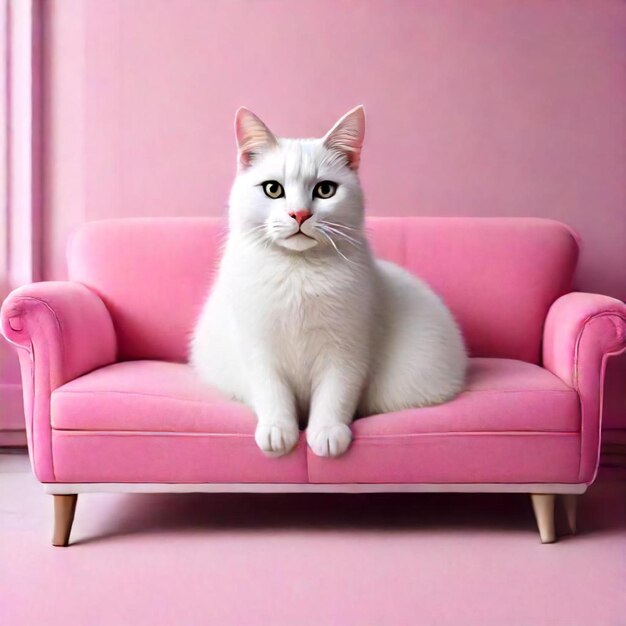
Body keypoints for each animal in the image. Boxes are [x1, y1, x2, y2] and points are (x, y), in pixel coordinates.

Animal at [188, 106, 466, 458]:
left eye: (325, 190)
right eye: (273, 189)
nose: (299, 214)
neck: (298, 270)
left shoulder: (347, 349)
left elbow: (336, 394)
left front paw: (328, 434)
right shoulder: (257, 347)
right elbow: (270, 390)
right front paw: (277, 431)